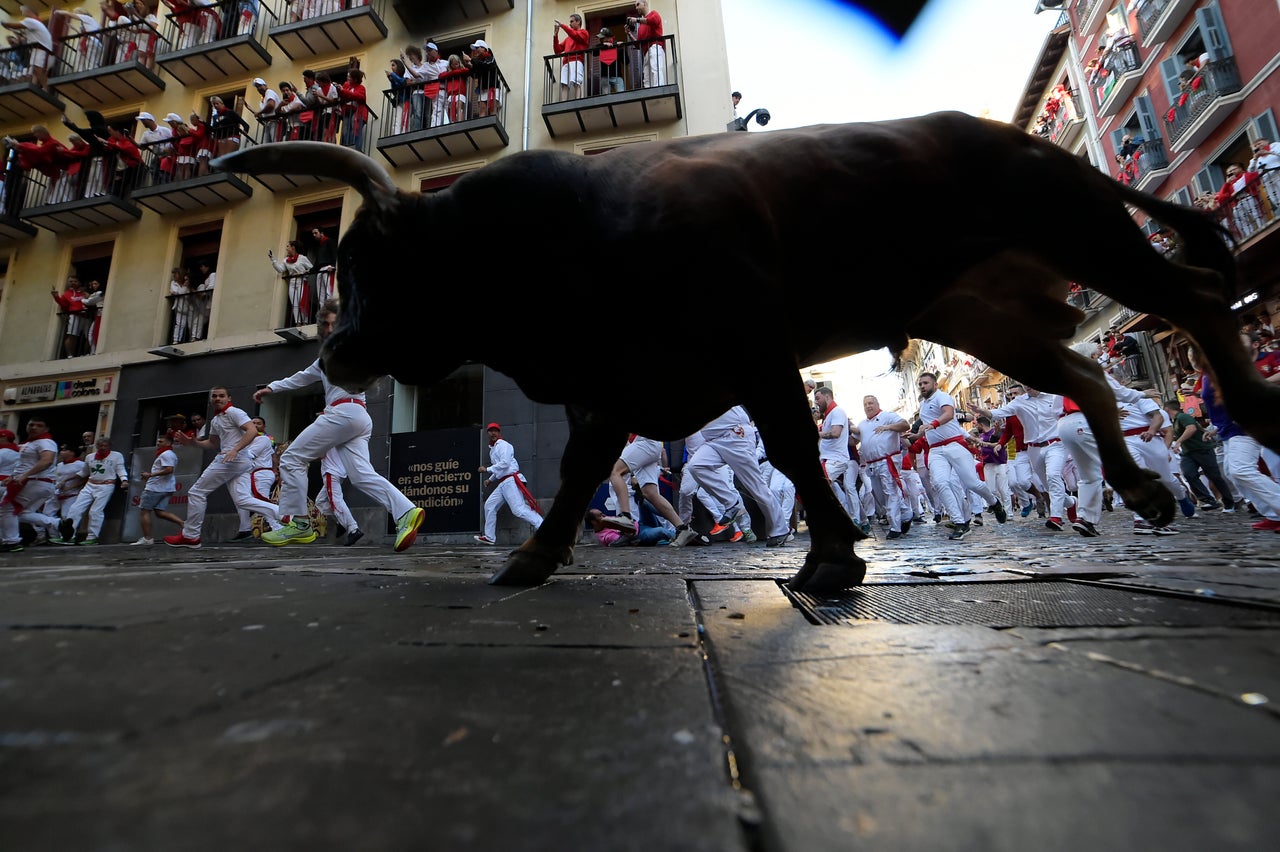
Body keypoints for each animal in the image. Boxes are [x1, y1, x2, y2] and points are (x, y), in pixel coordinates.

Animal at [212, 111, 1280, 591]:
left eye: (368, 261)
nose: (339, 351)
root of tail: (1012, 134)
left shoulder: (755, 352)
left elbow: (796, 451)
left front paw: (832, 558)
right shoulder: (623, 385)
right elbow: (581, 470)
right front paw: (538, 556)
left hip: (1085, 233)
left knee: (1192, 298)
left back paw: (1249, 418)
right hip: (988, 316)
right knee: (1089, 370)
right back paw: (1140, 488)